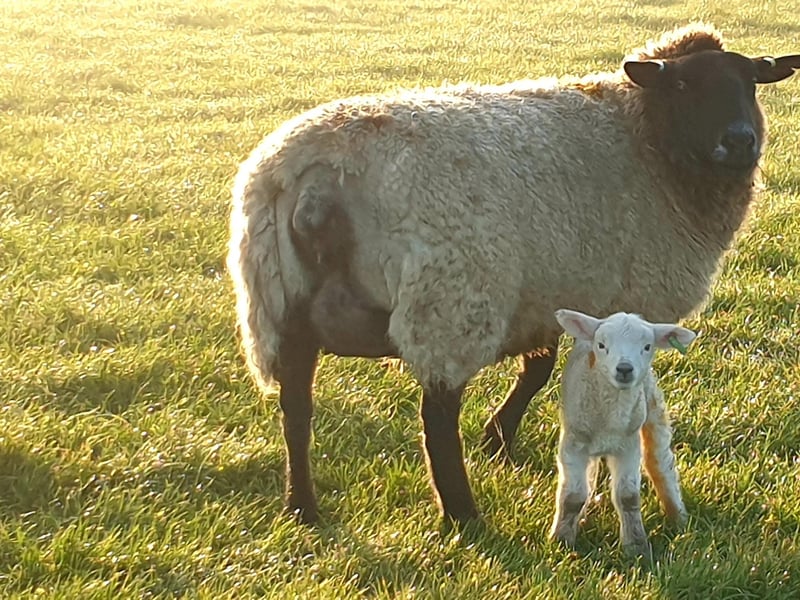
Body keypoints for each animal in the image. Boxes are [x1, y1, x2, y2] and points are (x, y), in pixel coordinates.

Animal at [227, 23, 800, 525]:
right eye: (683, 85)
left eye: (750, 83)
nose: (741, 140)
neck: (646, 137)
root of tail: (317, 181)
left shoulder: (547, 291)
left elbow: (538, 370)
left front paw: (498, 439)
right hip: (448, 305)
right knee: (436, 418)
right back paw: (462, 514)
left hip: (279, 308)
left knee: (295, 411)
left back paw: (302, 506)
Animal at [549, 309, 696, 559]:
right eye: (601, 345)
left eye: (647, 346)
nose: (625, 369)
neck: (609, 420)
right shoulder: (573, 444)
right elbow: (573, 497)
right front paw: (561, 540)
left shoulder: (628, 446)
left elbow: (628, 497)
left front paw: (636, 547)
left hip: (652, 407)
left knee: (660, 463)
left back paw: (679, 517)